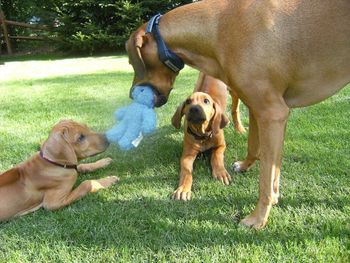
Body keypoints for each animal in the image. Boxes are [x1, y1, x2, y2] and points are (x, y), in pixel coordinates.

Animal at [170, 73, 242, 201]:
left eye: (206, 101)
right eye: (188, 101)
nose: (194, 108)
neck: (203, 135)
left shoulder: (221, 146)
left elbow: (216, 157)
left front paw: (220, 173)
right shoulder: (187, 156)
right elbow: (186, 172)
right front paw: (183, 189)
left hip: (234, 91)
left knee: (235, 110)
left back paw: (240, 129)